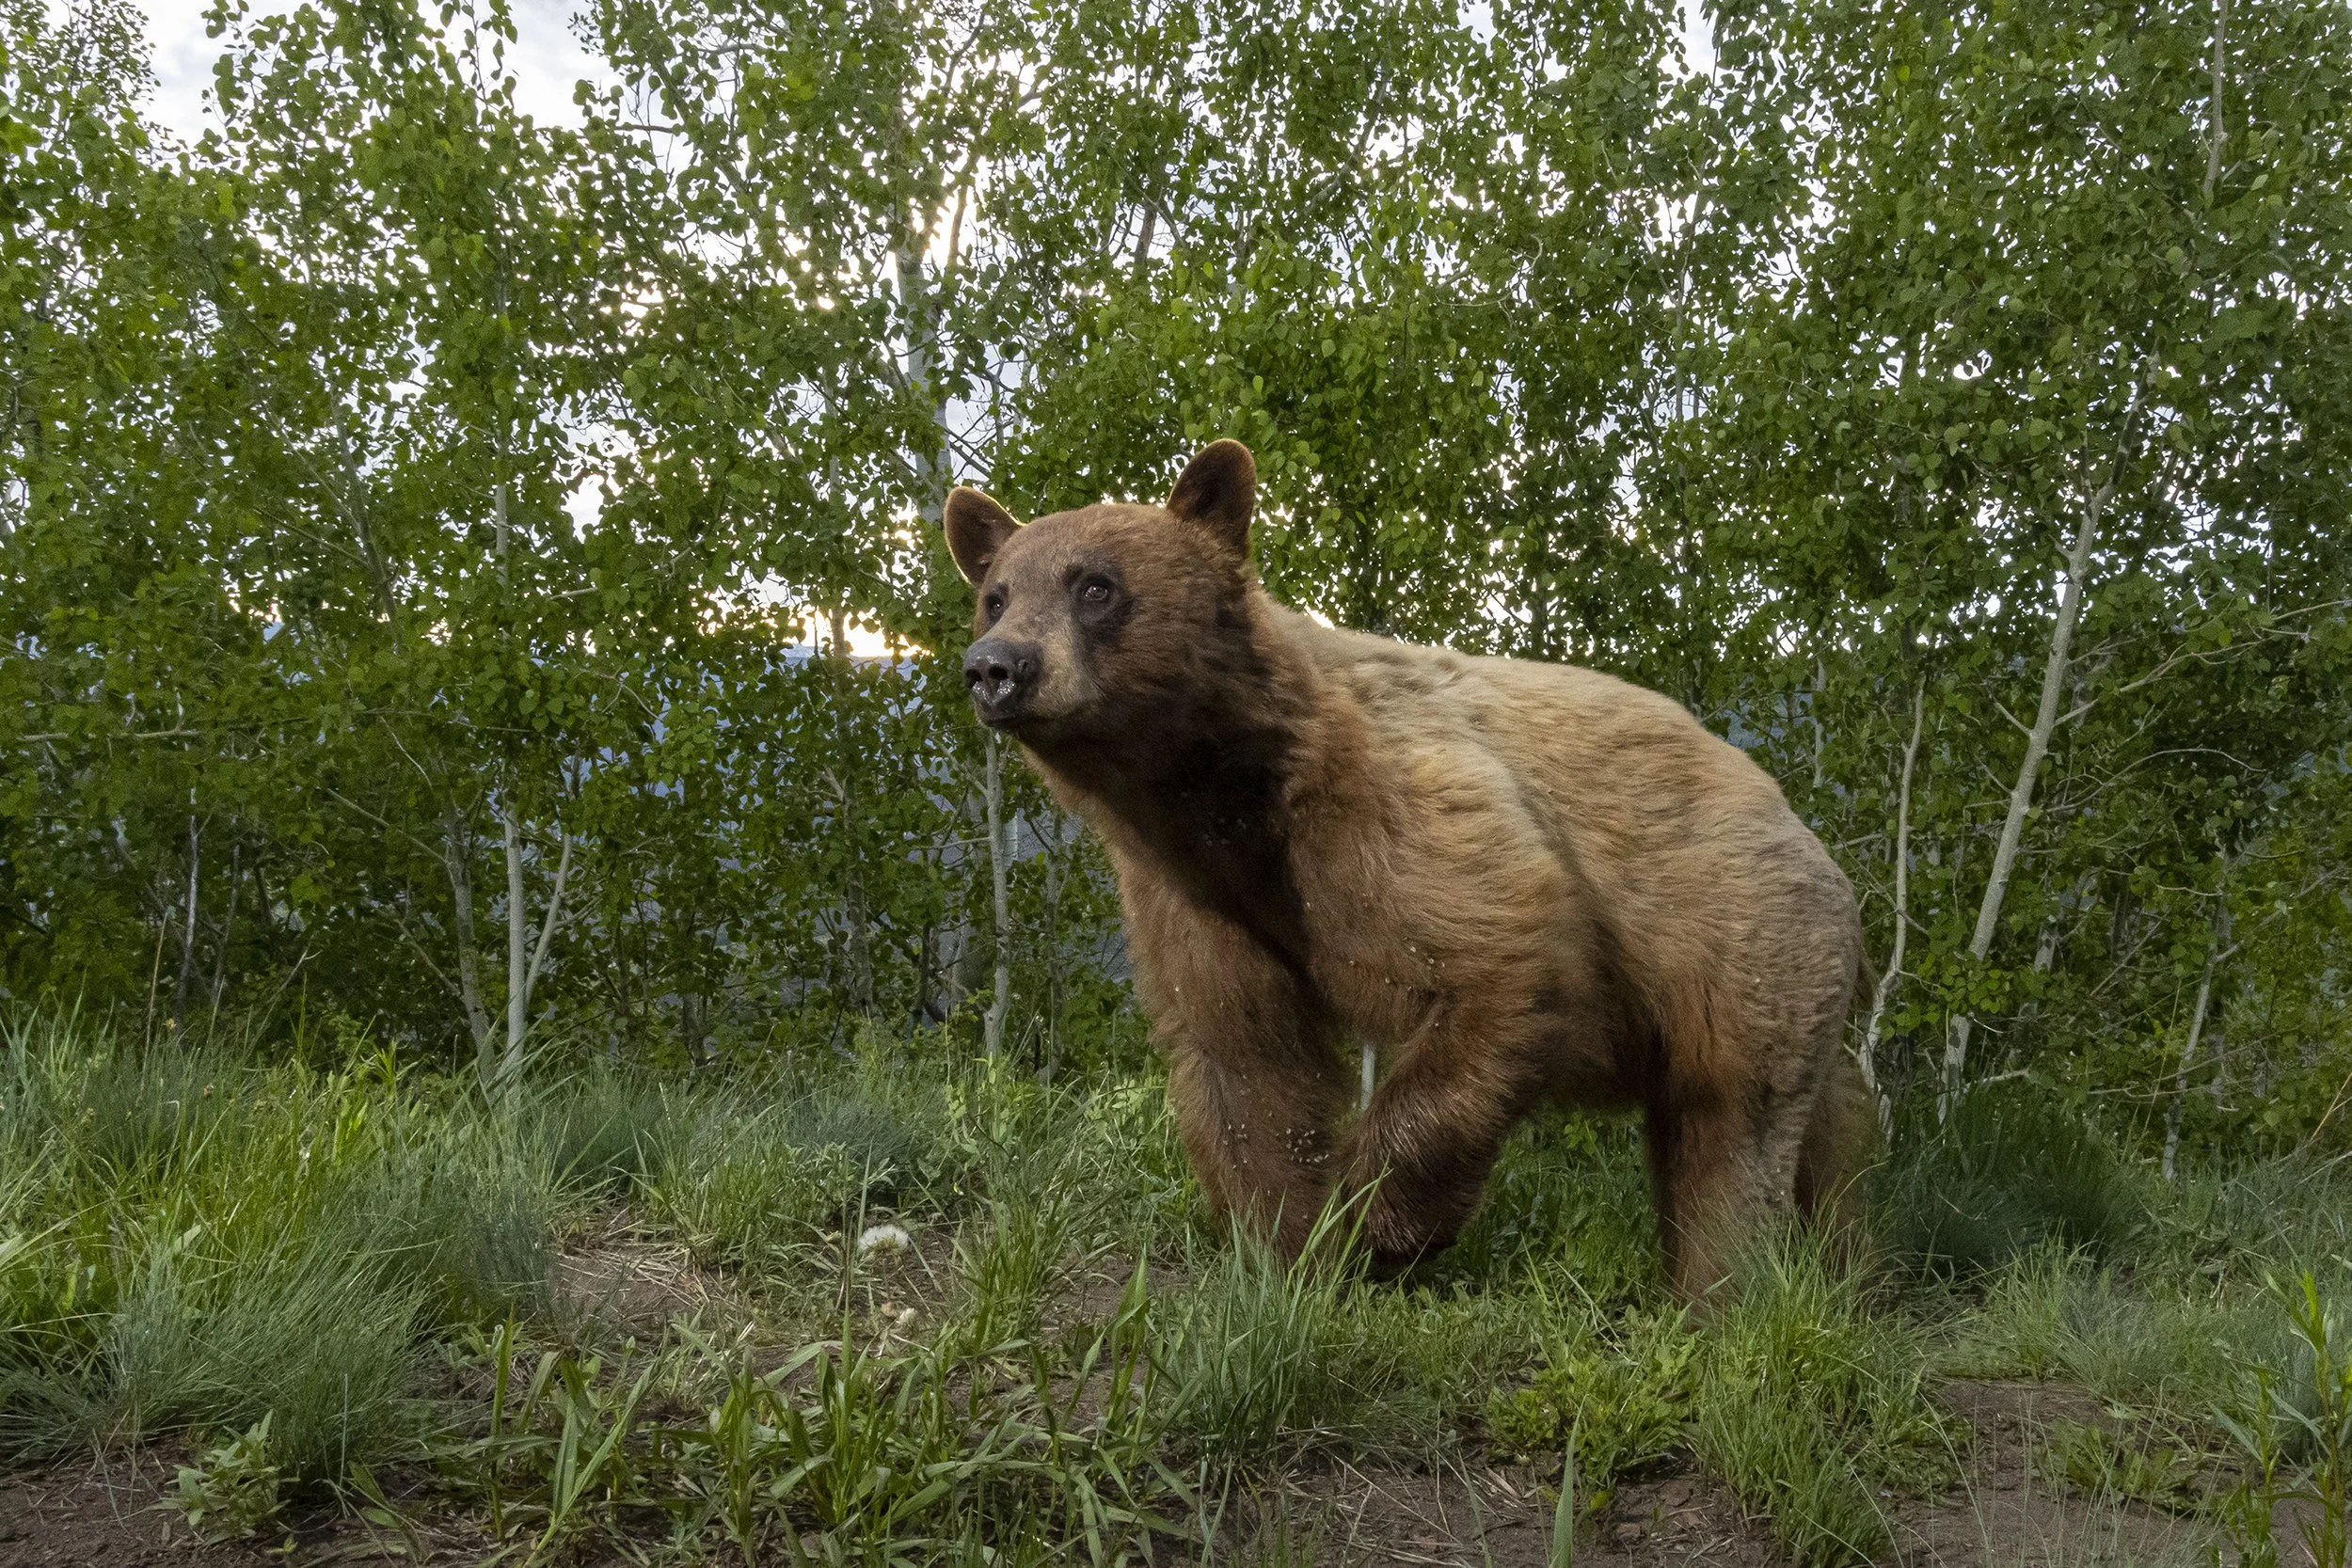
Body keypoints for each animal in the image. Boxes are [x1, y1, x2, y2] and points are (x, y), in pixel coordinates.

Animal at [942, 439, 1873, 1299]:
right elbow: (1243, 1060)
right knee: (1826, 1134)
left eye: (1094, 585)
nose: (996, 666)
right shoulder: (1190, 892)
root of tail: (1801, 825)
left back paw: (1723, 1291)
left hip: (1742, 936)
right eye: (997, 594)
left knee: (1731, 1124)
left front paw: (1378, 1224)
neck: (1230, 790)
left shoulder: (1384, 803)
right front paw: (1288, 1253)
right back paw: (1841, 1256)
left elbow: (1494, 960)